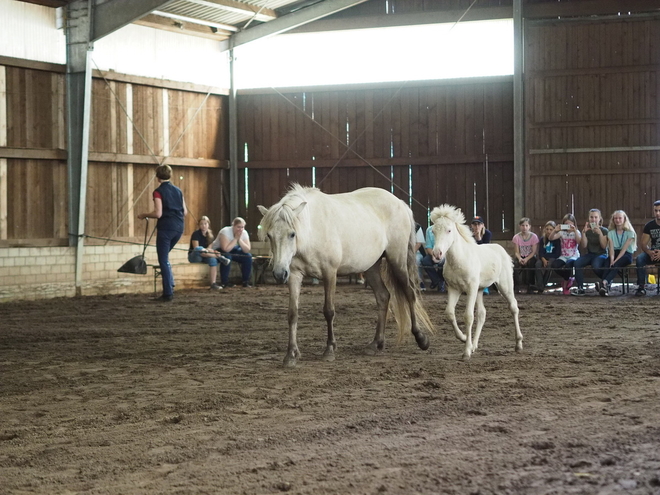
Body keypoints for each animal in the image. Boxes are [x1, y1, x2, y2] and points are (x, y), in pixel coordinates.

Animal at [258, 186, 434, 368]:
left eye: (292, 234)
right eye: (269, 235)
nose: (279, 273)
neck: (312, 229)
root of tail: (400, 203)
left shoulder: (330, 272)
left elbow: (329, 311)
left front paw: (329, 349)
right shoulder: (293, 275)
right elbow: (292, 314)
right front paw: (291, 354)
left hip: (397, 260)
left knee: (409, 293)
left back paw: (421, 339)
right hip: (371, 267)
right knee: (383, 296)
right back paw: (376, 344)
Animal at [430, 204, 524, 360]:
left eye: (449, 230)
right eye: (433, 231)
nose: (437, 254)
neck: (460, 260)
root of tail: (501, 249)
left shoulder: (471, 289)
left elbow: (468, 316)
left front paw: (466, 352)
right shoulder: (454, 289)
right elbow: (449, 313)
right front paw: (463, 338)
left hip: (505, 286)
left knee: (513, 307)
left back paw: (518, 345)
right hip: (480, 290)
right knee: (482, 314)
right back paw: (474, 346)